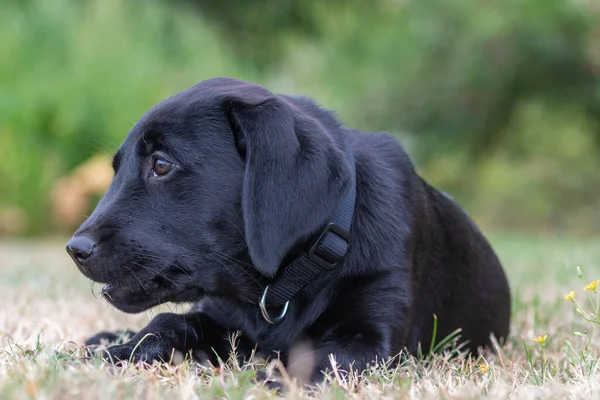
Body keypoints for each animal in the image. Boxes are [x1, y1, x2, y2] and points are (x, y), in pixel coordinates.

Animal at [69, 77, 510, 382]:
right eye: (116, 169)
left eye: (161, 164)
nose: (75, 249)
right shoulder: (220, 314)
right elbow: (168, 323)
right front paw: (123, 351)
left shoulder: (371, 339)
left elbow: (319, 358)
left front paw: (272, 381)